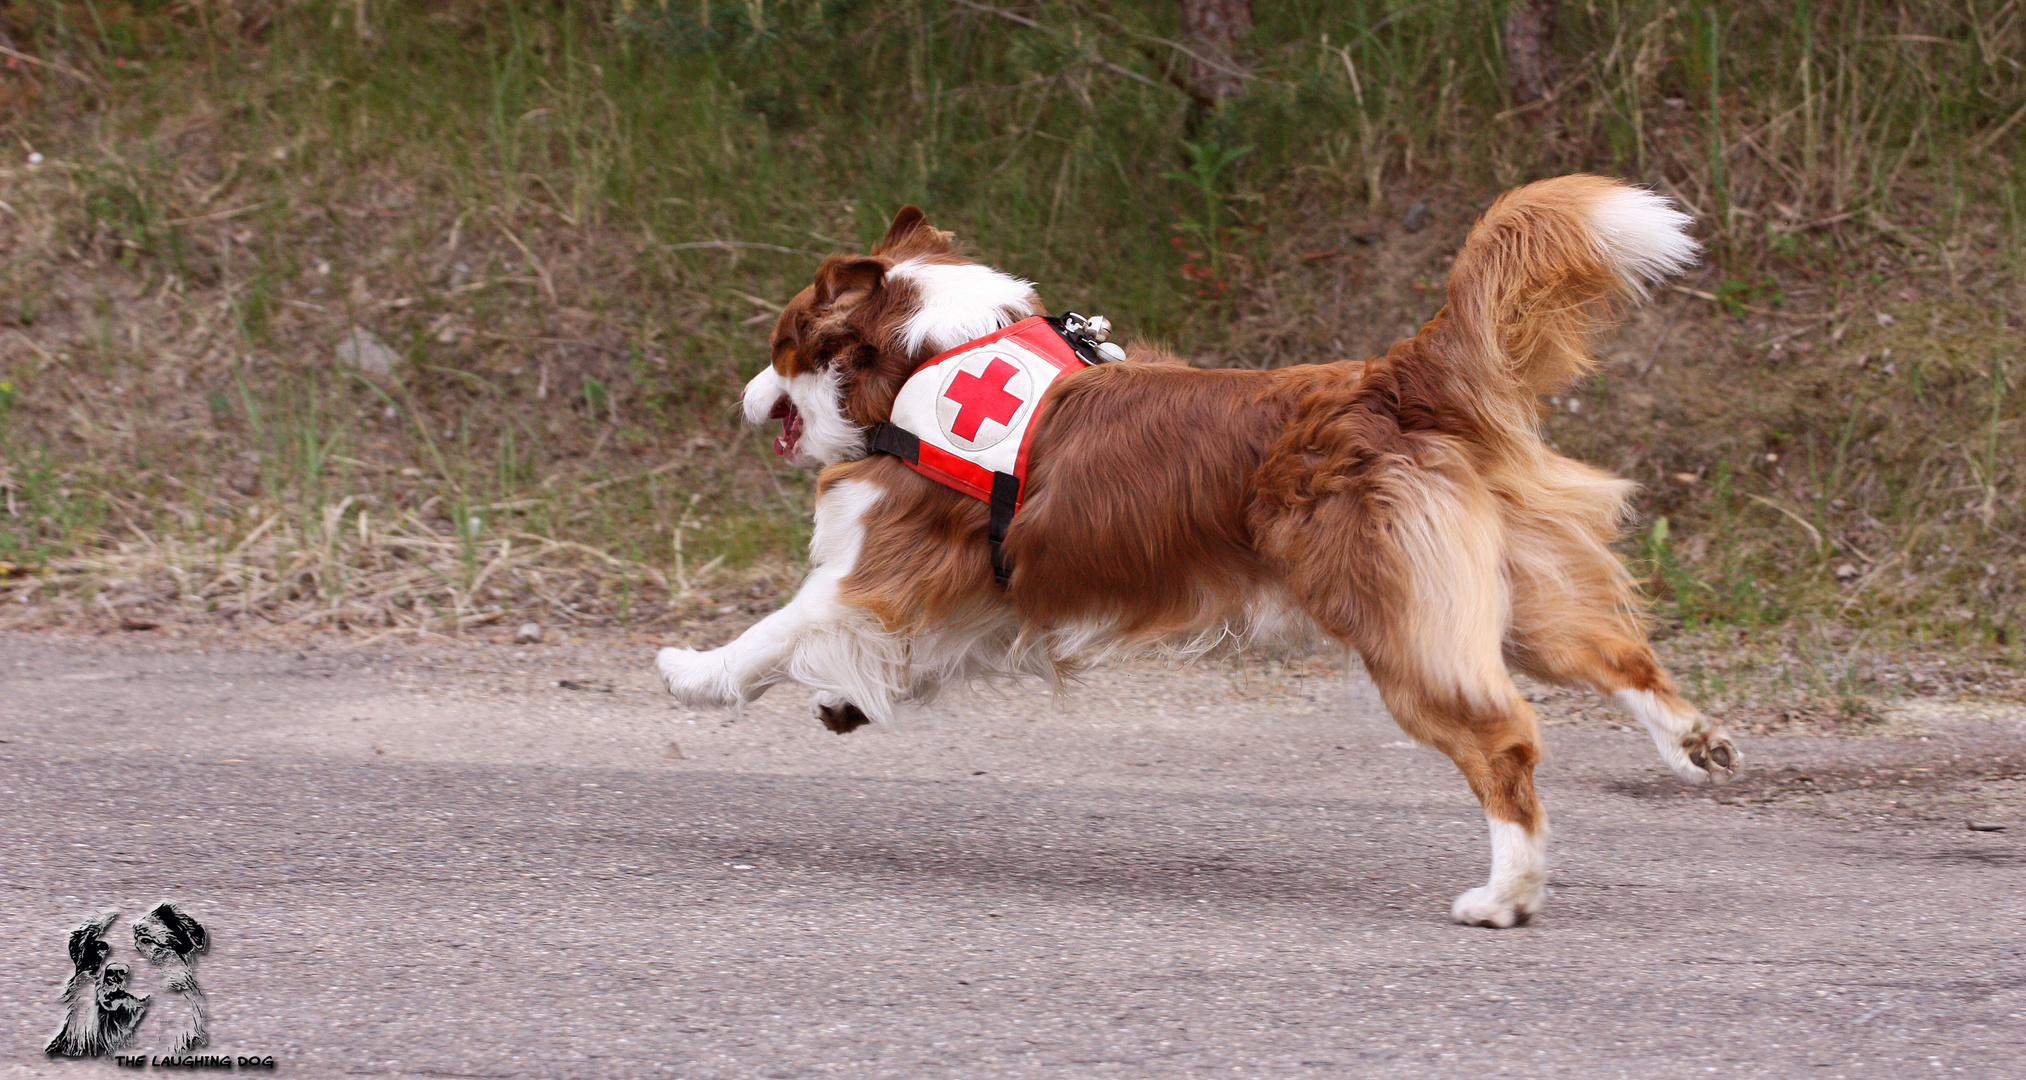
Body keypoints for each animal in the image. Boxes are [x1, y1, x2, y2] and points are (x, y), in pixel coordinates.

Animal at [660, 174, 1742, 928]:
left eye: (781, 345)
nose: (745, 399)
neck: (921, 362)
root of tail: (1391, 378)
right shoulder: (983, 594)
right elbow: (905, 655)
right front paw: (848, 701)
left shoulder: (876, 566)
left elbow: (775, 631)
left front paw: (694, 673)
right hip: (1508, 591)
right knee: (1614, 655)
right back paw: (1691, 741)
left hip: (1399, 622)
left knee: (1503, 739)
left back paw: (1505, 896)